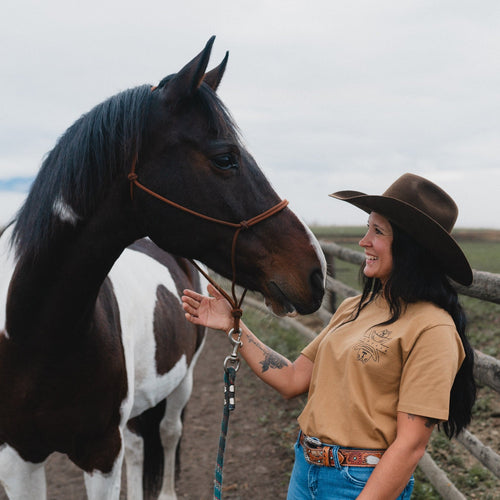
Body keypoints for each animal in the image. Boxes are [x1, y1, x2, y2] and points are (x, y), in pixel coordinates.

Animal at [0, 36, 326, 500]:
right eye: (225, 158)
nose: (315, 270)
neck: (37, 335)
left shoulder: (100, 453)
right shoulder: (18, 459)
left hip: (180, 383)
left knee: (168, 434)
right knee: (141, 446)